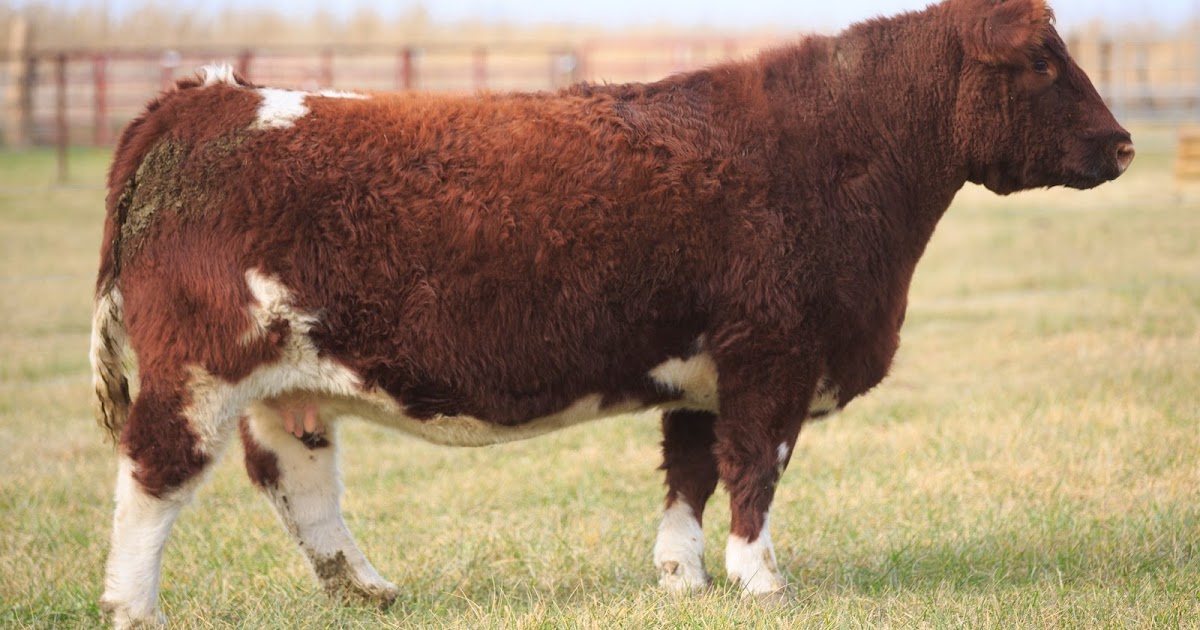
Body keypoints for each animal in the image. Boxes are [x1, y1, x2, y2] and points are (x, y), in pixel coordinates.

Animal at [90, 0, 1132, 626]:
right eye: (1043, 60)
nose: (1123, 144)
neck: (835, 153)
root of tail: (206, 99)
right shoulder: (772, 355)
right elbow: (756, 468)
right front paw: (762, 579)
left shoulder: (704, 369)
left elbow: (691, 472)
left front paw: (683, 576)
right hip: (198, 371)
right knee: (154, 477)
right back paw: (134, 607)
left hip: (286, 383)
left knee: (300, 484)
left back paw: (369, 588)